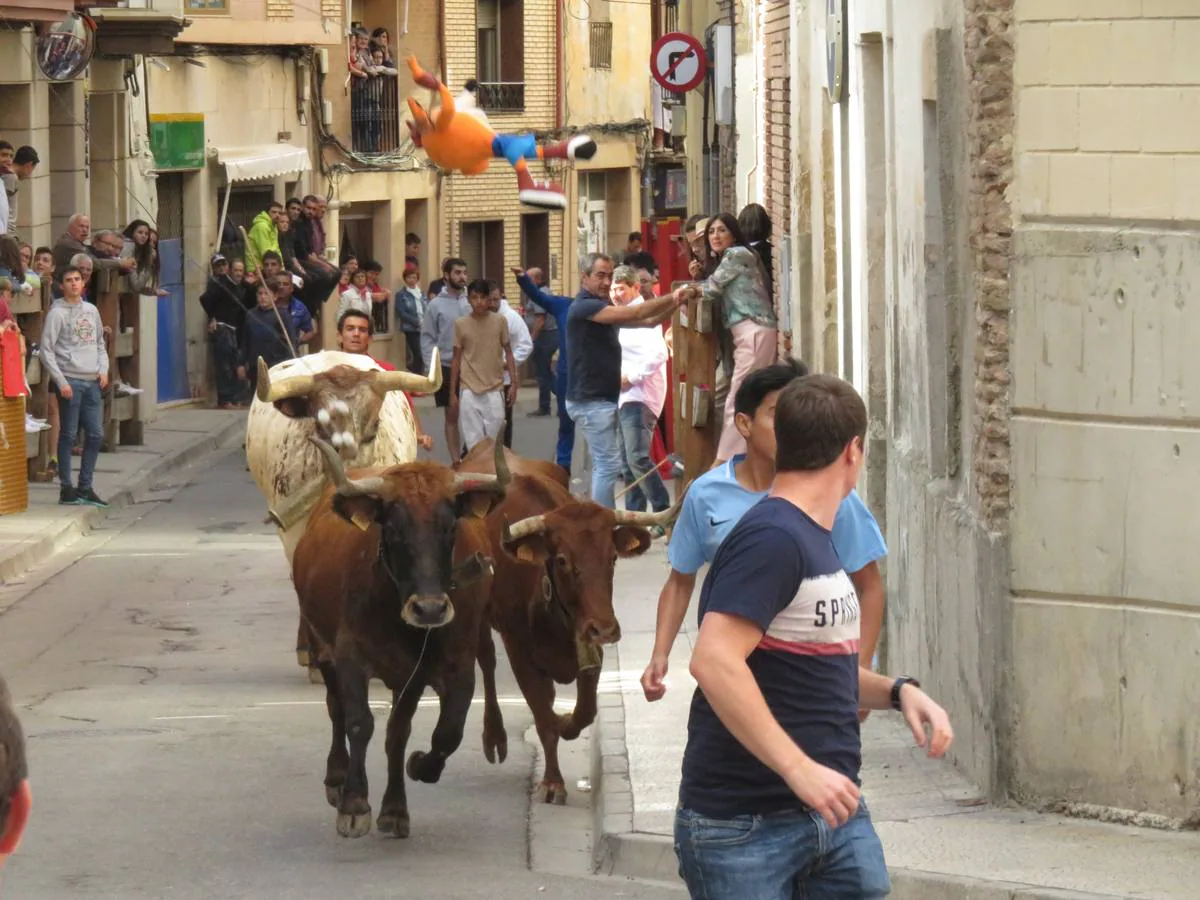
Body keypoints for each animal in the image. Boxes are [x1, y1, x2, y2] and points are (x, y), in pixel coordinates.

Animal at [298, 434, 511, 840]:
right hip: (320, 645)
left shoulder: (449, 667)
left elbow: (438, 733)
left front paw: (406, 789)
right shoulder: (350, 655)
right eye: (393, 530)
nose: (429, 609)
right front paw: (354, 803)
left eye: (450, 529)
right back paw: (336, 778)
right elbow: (358, 722)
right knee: (336, 708)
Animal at [456, 441, 686, 806]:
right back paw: (494, 736)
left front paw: (566, 721)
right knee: (487, 660)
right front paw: (552, 782)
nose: (605, 628)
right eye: (563, 559)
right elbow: (542, 717)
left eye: (613, 557)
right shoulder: (519, 652)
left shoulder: (589, 645)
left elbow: (583, 711)